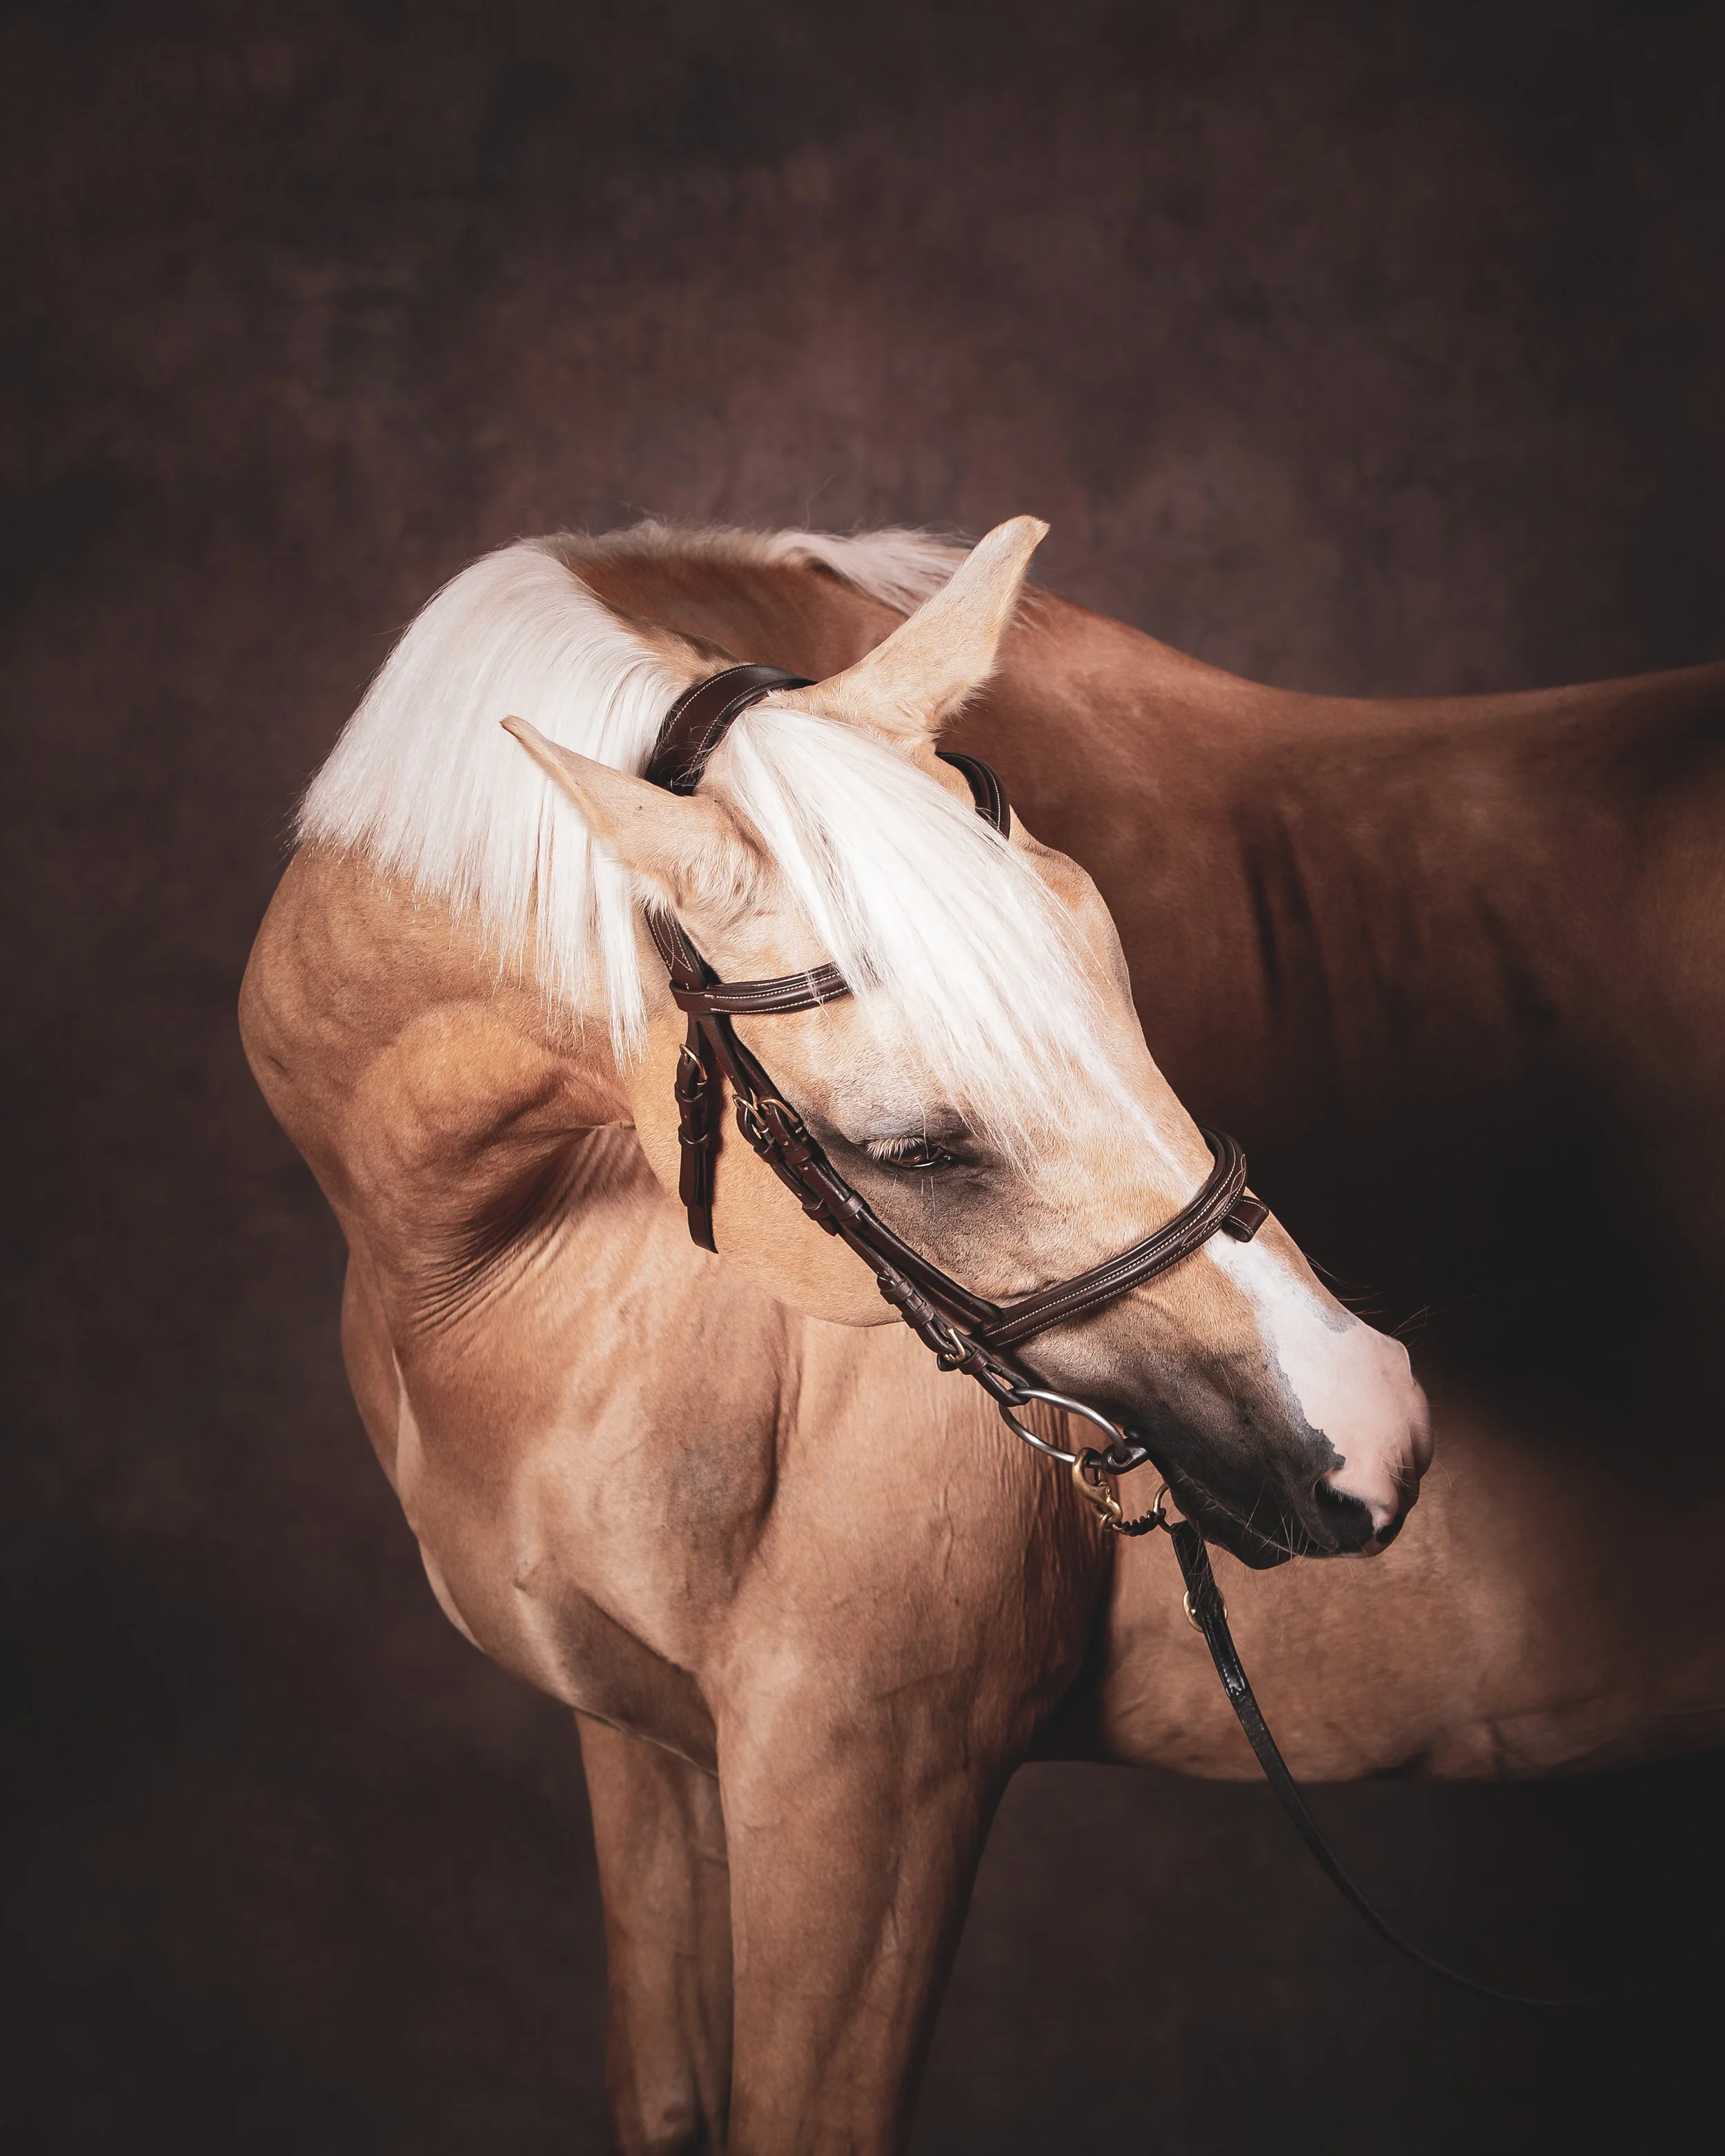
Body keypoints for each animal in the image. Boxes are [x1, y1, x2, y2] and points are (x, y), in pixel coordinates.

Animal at [240, 515, 1725, 2154]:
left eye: (1118, 974)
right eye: (914, 1148)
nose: (1373, 1421)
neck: (502, 1257)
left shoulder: (865, 1773)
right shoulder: (639, 1744)